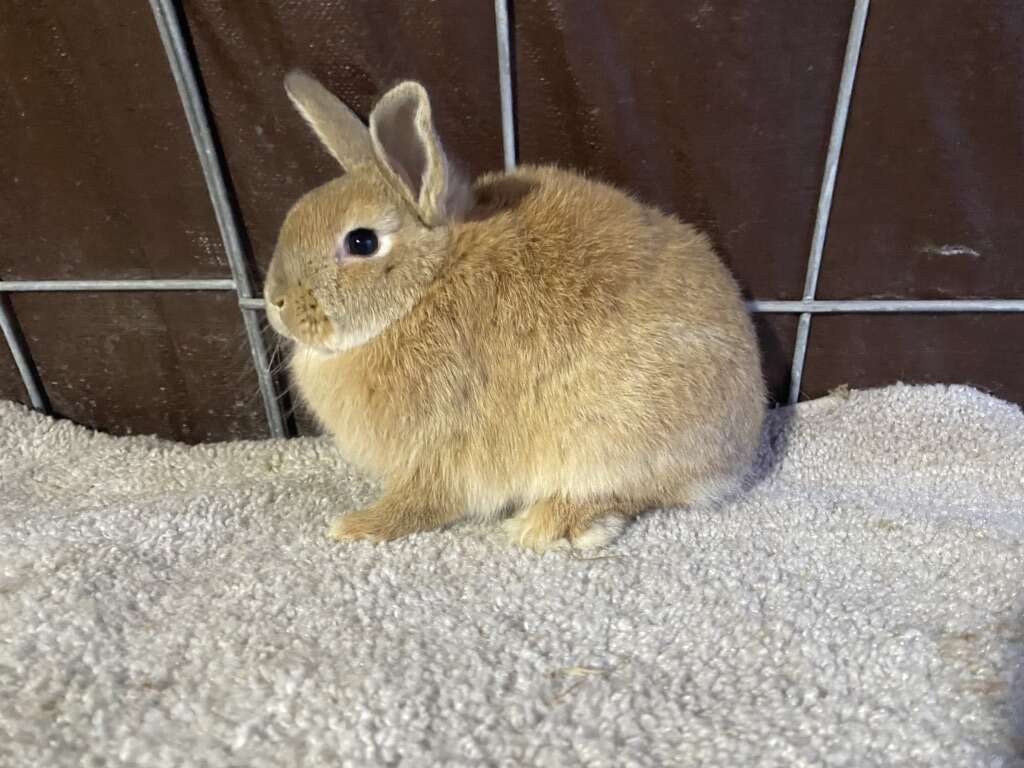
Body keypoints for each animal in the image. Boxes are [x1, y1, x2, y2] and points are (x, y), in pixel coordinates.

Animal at [266, 72, 770, 548]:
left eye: (361, 242)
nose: (275, 302)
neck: (426, 285)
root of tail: (740, 445)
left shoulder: (442, 443)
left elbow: (422, 501)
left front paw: (357, 527)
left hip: (608, 438)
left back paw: (548, 523)